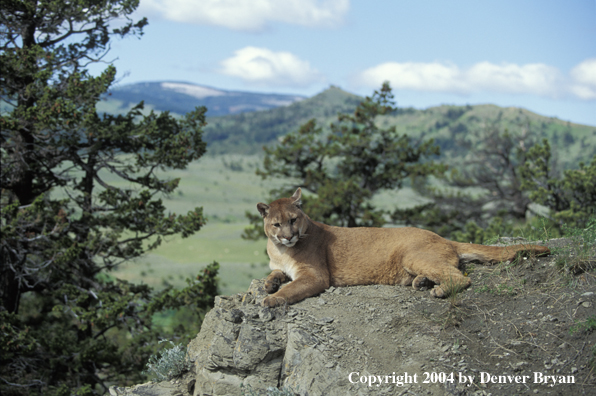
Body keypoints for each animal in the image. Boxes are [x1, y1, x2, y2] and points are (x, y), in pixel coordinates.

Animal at [258, 187, 552, 308]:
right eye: (276, 224)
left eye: (293, 220)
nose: (288, 237)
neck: (282, 251)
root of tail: (443, 237)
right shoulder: (281, 264)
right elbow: (274, 273)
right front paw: (270, 283)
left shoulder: (316, 275)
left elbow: (293, 288)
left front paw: (273, 298)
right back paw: (422, 282)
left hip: (412, 256)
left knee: (460, 277)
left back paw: (438, 289)